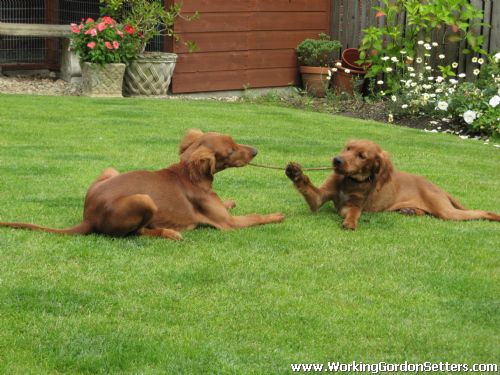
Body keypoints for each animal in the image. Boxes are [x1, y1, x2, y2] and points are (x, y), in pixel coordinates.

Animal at [0, 130, 286, 241]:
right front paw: (276, 215)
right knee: (136, 233)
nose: (256, 151)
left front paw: (230, 200)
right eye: (230, 150)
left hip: (110, 170)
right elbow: (256, 217)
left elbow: (228, 203)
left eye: (235, 141)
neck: (190, 174)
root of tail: (89, 216)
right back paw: (170, 233)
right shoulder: (229, 224)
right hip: (145, 201)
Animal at [286, 140, 500, 231]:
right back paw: (410, 211)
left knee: (480, 212)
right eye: (348, 148)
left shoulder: (353, 205)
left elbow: (354, 213)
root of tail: (438, 187)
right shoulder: (319, 197)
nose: (336, 160)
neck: (351, 181)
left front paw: (351, 223)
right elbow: (308, 187)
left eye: (362, 156)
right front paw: (296, 173)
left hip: (446, 212)